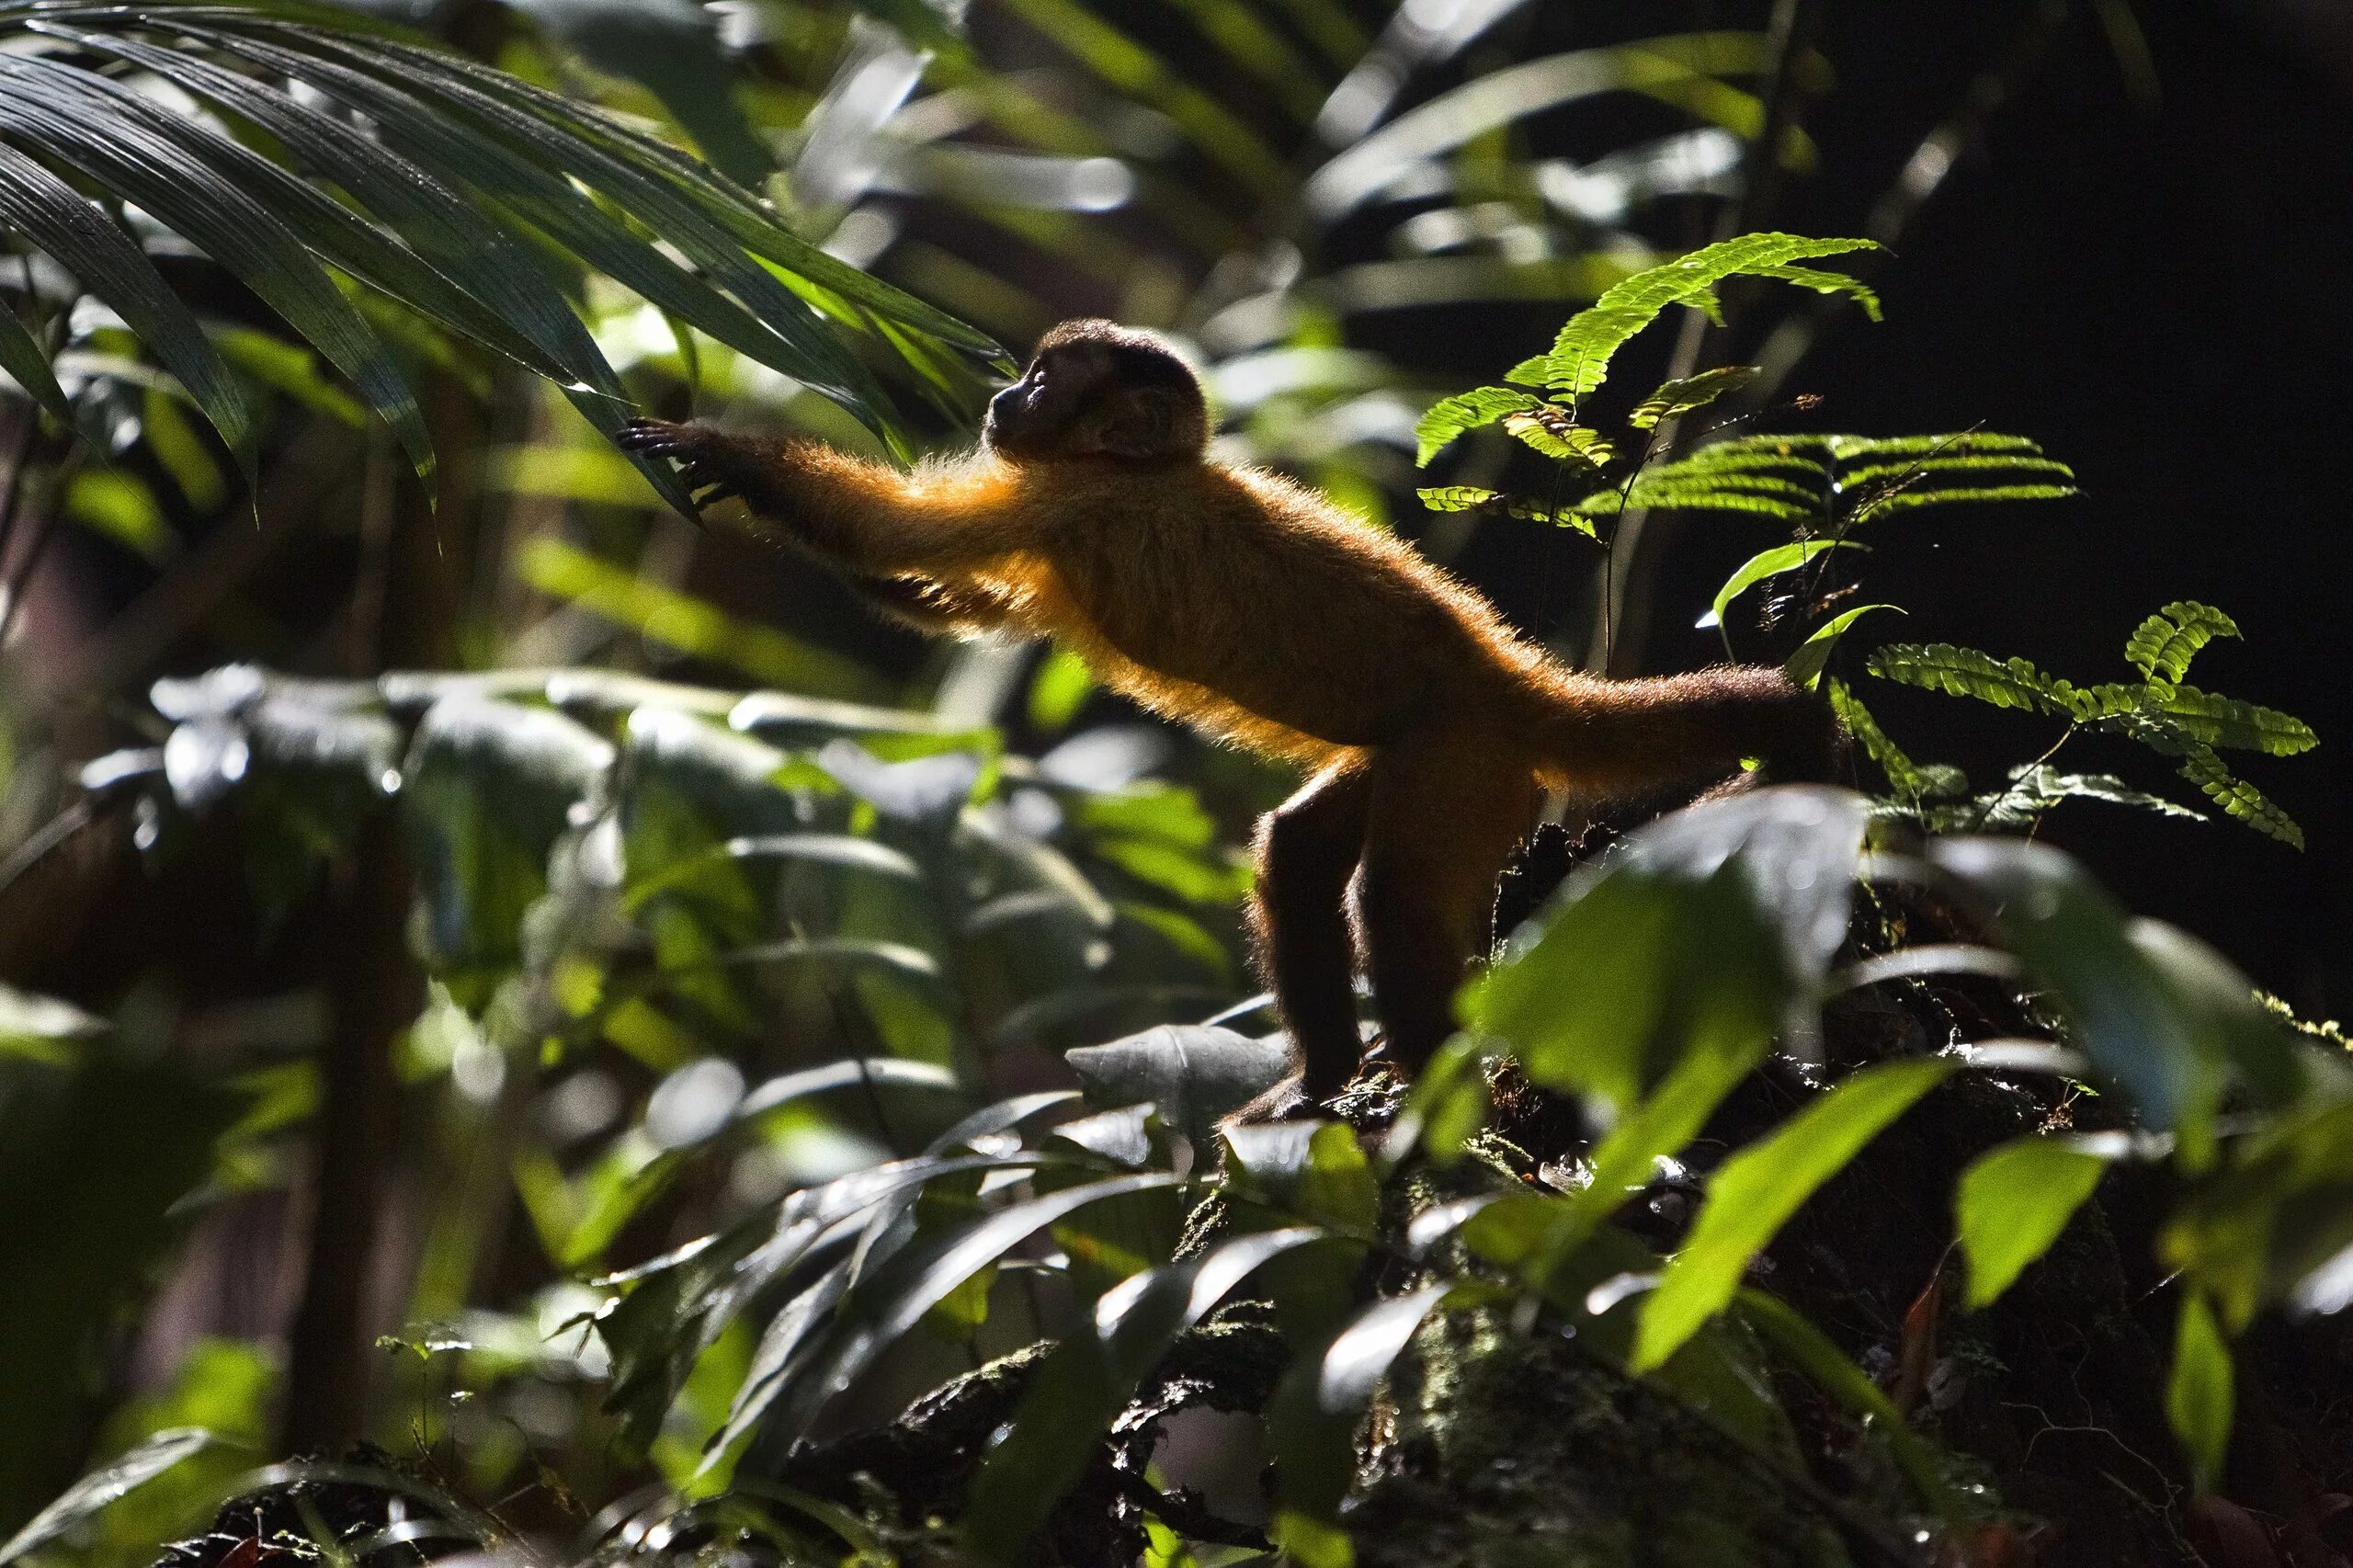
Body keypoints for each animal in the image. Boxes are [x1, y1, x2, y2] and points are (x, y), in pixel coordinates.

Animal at [616, 320, 1825, 1111]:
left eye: (1045, 379)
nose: (1004, 402)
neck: (1139, 466)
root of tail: (1515, 683)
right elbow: (963, 605)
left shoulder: (1074, 496)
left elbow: (900, 536)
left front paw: (722, 452)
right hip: (1430, 763)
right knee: (1296, 853)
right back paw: (1327, 1077)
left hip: (1462, 761)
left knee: (1393, 897)